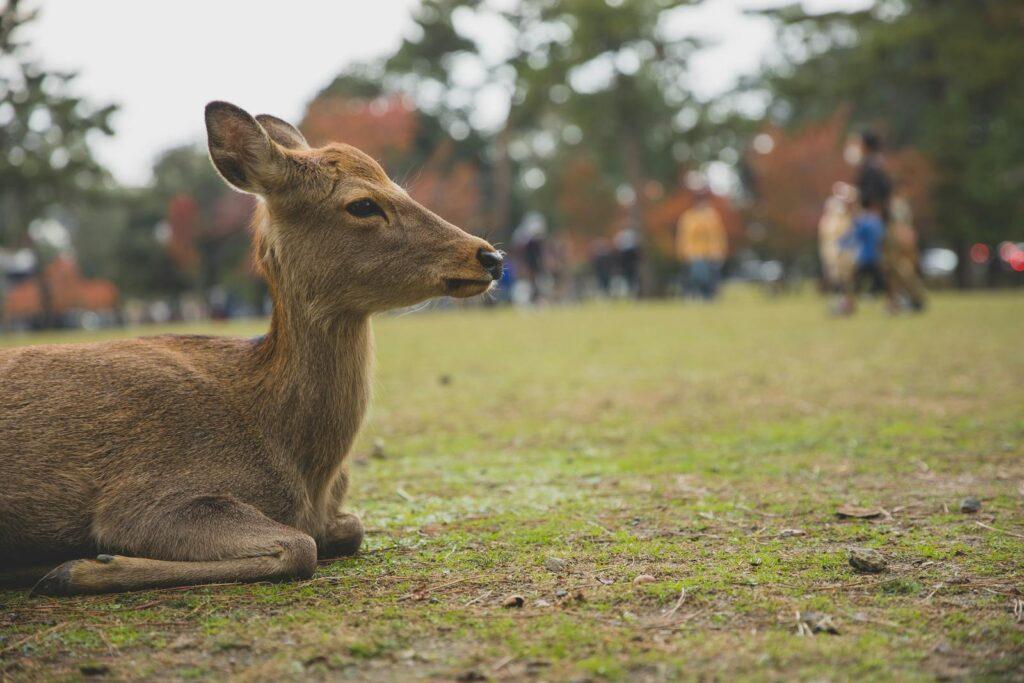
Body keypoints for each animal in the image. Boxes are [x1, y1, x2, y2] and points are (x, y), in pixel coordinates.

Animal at [0, 98, 499, 593]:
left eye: (402, 187)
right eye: (362, 204)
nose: (490, 256)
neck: (306, 472)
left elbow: (351, 528)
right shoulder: (146, 495)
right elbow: (301, 547)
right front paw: (78, 567)